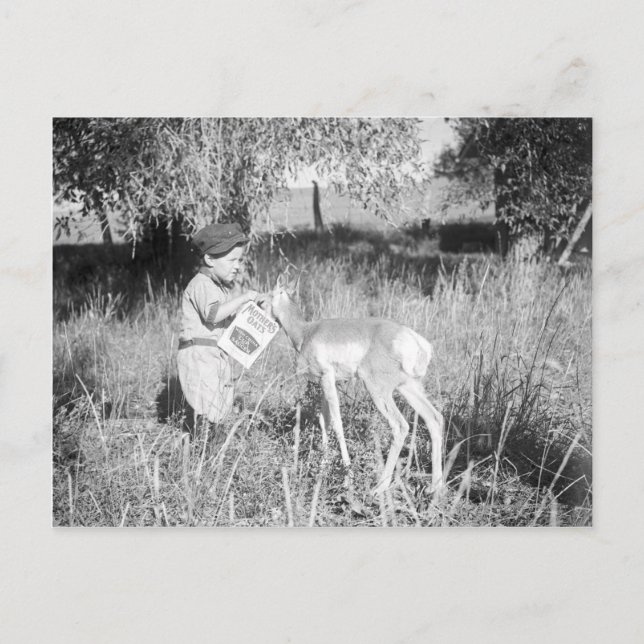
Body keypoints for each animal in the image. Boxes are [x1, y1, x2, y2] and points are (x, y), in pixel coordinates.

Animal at [266, 283, 444, 496]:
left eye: (267, 296)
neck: (306, 331)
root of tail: (413, 339)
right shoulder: (326, 383)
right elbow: (324, 421)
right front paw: (323, 467)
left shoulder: (327, 378)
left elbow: (337, 423)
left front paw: (347, 477)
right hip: (408, 388)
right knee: (434, 418)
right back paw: (435, 487)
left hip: (378, 390)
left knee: (400, 425)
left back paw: (379, 487)